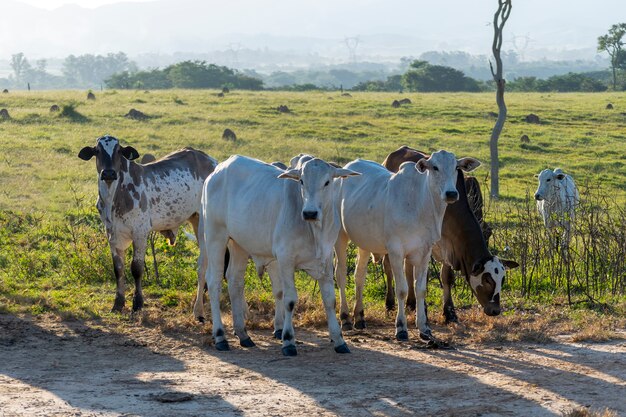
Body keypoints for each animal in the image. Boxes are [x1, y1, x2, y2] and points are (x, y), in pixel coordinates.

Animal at [78, 135, 217, 310]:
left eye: (118, 151)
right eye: (97, 150)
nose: (108, 173)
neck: (113, 197)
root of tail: (211, 161)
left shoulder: (140, 232)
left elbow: (136, 268)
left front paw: (137, 302)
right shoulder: (111, 233)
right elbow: (118, 268)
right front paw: (118, 302)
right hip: (196, 218)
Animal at [195, 154, 360, 356]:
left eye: (327, 182)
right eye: (302, 181)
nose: (310, 212)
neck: (315, 230)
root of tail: (218, 170)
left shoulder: (326, 260)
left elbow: (330, 300)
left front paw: (338, 340)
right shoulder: (285, 260)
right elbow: (289, 300)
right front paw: (288, 340)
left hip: (239, 244)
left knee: (235, 282)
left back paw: (243, 334)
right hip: (215, 236)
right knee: (214, 281)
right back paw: (220, 336)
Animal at [336, 151, 478, 340]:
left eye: (456, 167)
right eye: (435, 167)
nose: (451, 193)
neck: (420, 206)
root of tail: (347, 167)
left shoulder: (425, 253)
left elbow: (420, 289)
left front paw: (424, 328)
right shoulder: (396, 252)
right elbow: (402, 289)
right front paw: (401, 327)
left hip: (364, 242)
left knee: (359, 275)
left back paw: (359, 317)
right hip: (340, 236)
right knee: (341, 275)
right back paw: (345, 318)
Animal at [378, 146, 520, 324]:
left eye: (502, 279)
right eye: (487, 279)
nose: (495, 310)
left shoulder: (451, 244)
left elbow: (447, 277)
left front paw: (450, 312)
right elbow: (422, 277)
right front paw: (424, 310)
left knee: (408, 267)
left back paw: (411, 302)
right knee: (388, 266)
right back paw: (390, 303)